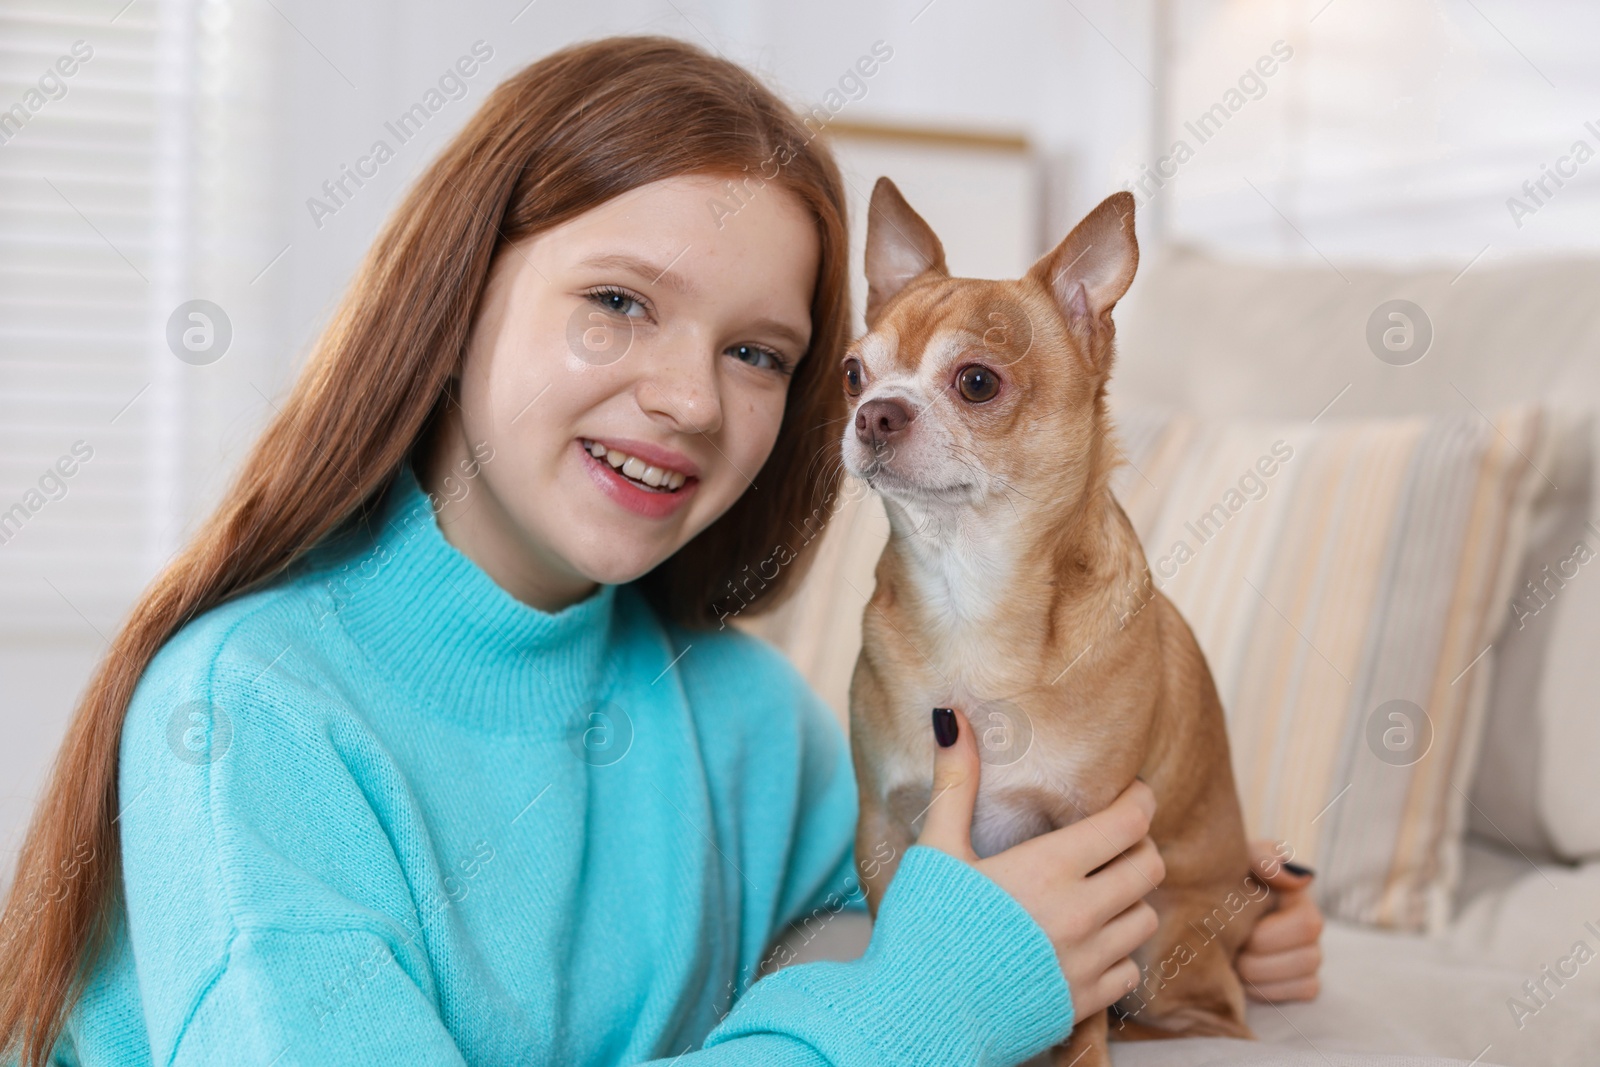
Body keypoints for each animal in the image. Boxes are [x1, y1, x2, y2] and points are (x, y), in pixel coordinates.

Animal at [844, 179, 1254, 1062]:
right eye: (853, 372)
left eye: (976, 382)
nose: (874, 413)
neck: (968, 594)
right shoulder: (883, 830)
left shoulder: (1090, 840)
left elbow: (1084, 1006)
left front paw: (1082, 1053)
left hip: (1167, 942)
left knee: (1210, 1014)